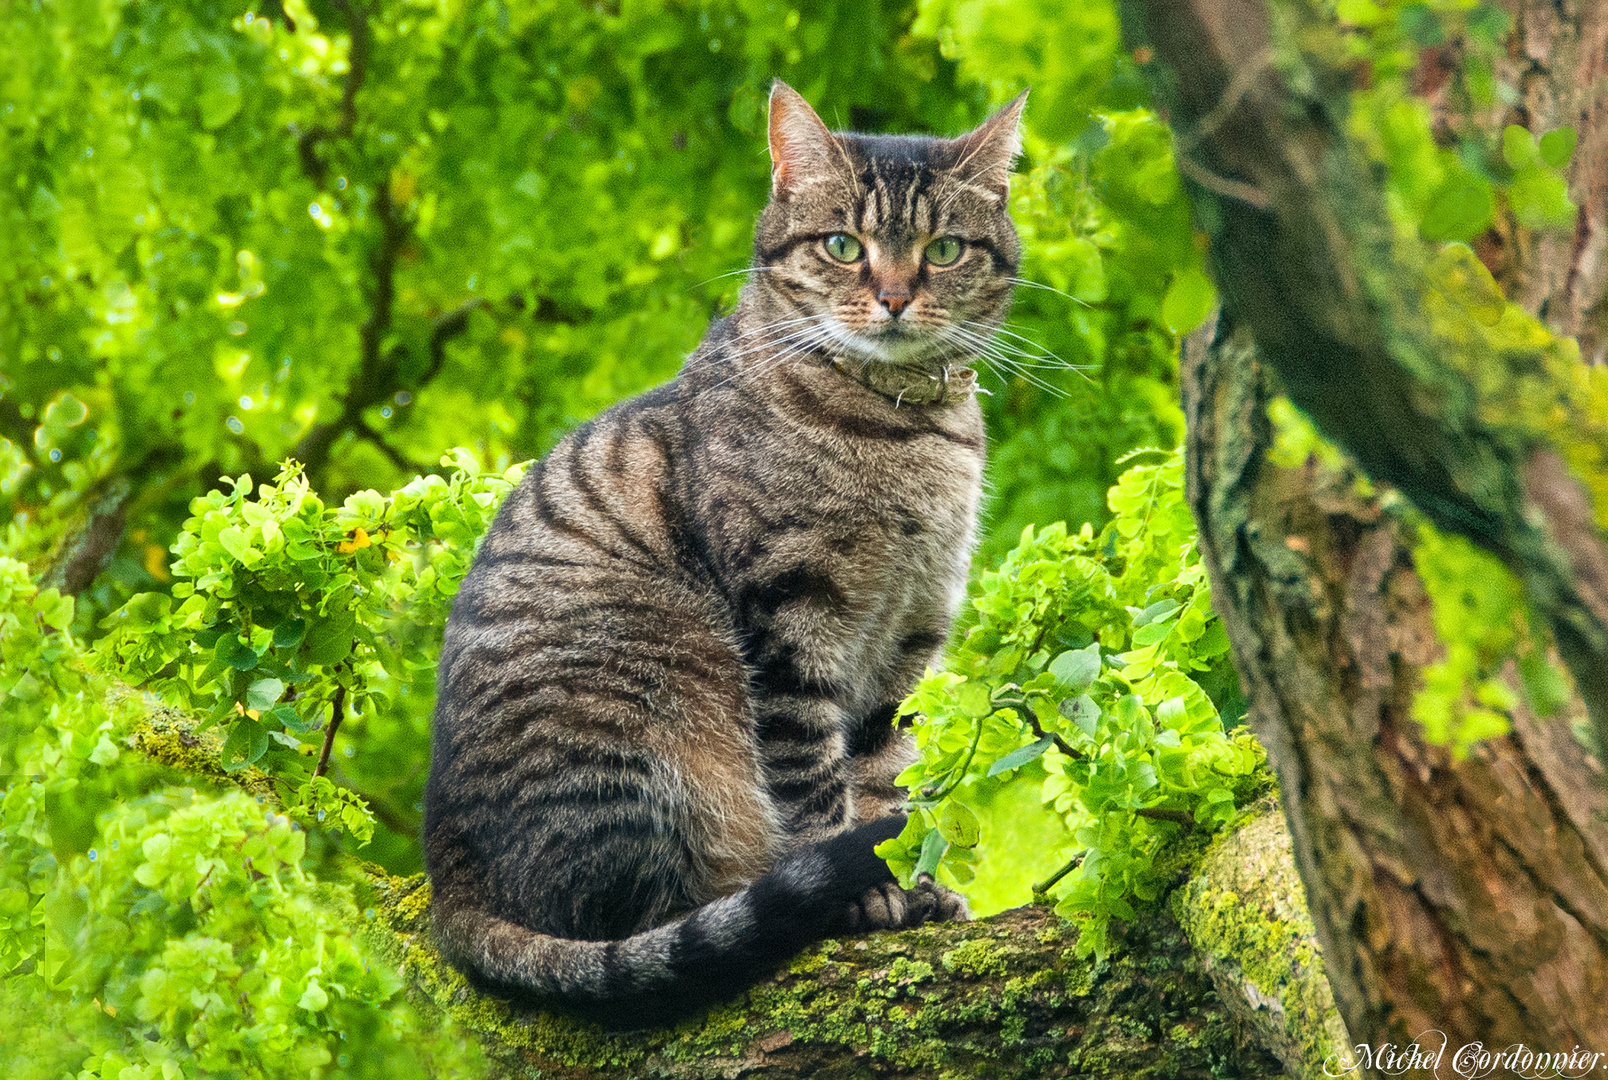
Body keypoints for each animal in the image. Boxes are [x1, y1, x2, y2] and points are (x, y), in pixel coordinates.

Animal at [424, 80, 1029, 1022]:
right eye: (843, 245)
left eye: (945, 250)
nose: (895, 298)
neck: (907, 432)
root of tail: (447, 877)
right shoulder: (791, 614)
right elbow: (815, 781)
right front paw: (860, 894)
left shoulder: (908, 638)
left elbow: (880, 777)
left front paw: (908, 883)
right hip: (650, 726)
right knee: (632, 921)